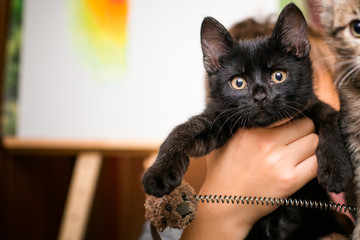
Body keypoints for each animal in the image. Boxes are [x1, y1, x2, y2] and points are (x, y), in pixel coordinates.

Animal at [143, 3, 352, 238]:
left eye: (278, 76)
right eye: (238, 82)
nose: (260, 97)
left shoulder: (314, 106)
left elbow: (332, 119)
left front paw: (336, 169)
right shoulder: (219, 117)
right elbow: (184, 130)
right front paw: (159, 172)